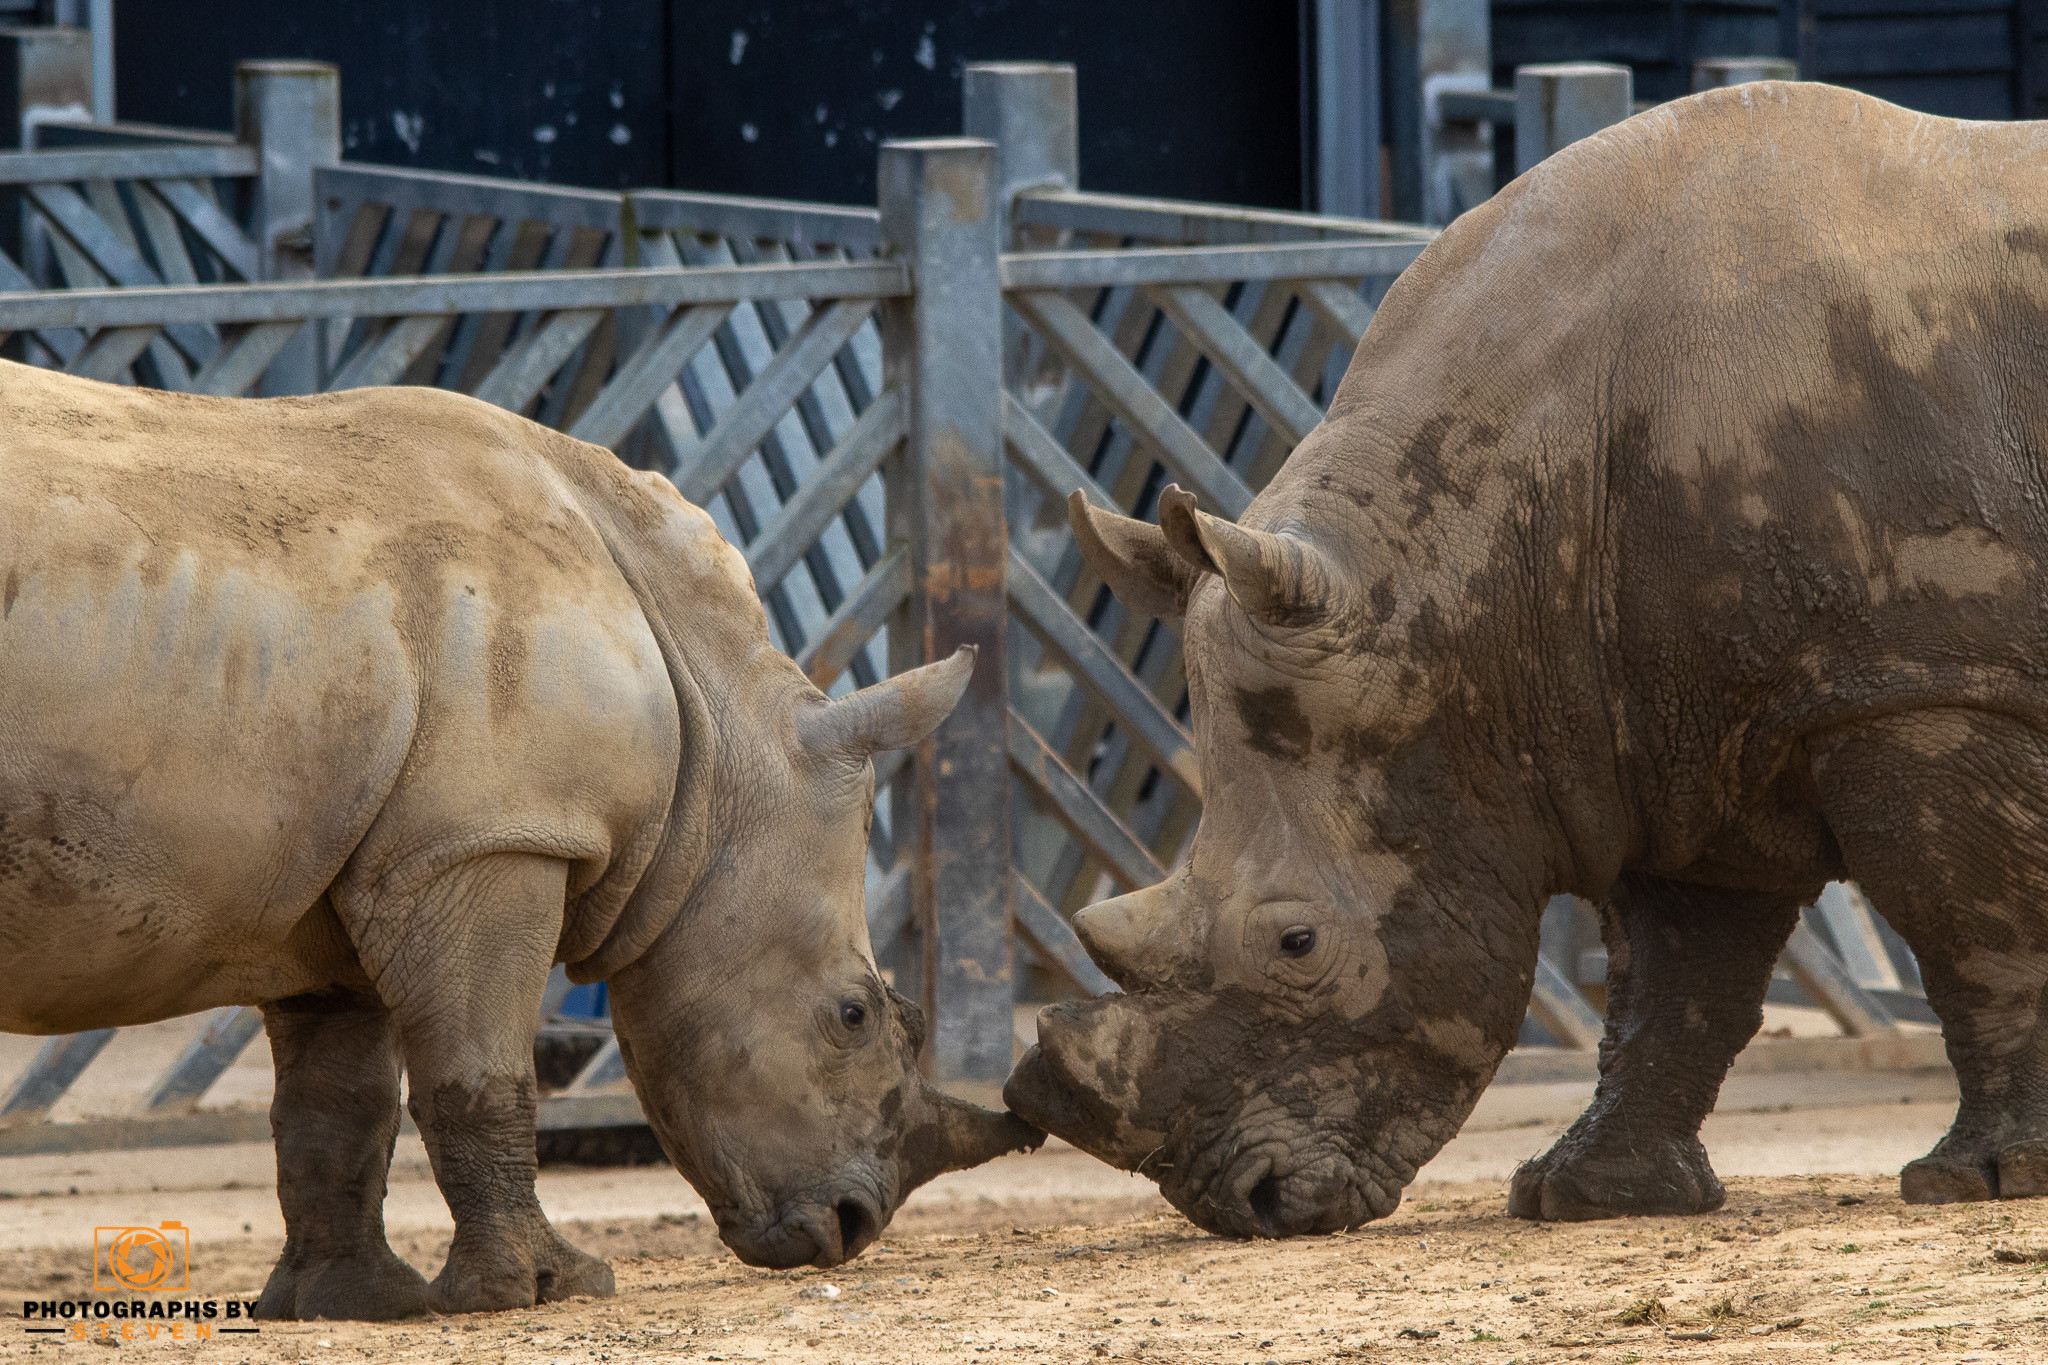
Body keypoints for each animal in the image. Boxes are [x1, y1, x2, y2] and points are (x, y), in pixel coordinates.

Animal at [0, 362, 1039, 1318]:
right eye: (852, 1016)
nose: (852, 1228)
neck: (717, 746)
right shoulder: (495, 840)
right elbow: (482, 1073)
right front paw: (544, 1288)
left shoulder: (357, 863)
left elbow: (337, 1106)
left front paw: (350, 1303)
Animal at [1004, 81, 2048, 1235]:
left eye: (1297, 945)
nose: (1242, 1201)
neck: (1463, 571)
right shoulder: (1675, 720)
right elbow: (1676, 979)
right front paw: (1590, 1196)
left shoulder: (1919, 688)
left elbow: (1973, 923)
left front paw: (1986, 1178)